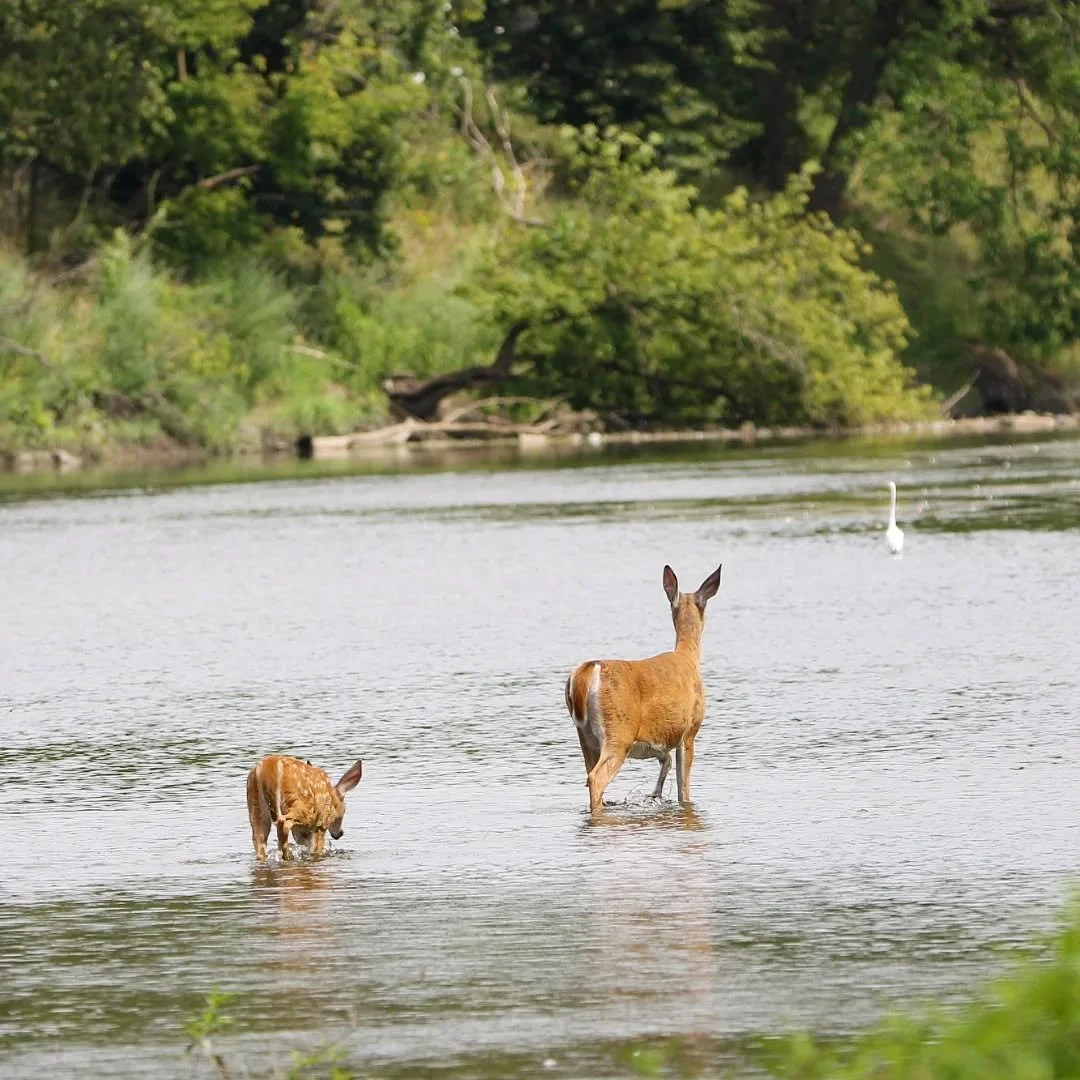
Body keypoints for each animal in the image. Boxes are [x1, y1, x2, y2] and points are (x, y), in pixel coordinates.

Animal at [564, 564, 722, 813]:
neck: (688, 657)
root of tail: (586, 671)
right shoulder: (689, 732)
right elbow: (684, 789)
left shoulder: (658, 742)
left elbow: (666, 763)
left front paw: (655, 795)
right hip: (619, 733)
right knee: (596, 778)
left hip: (585, 737)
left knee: (589, 775)